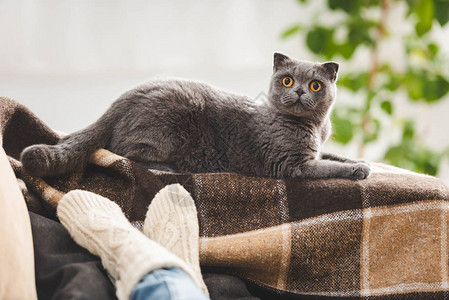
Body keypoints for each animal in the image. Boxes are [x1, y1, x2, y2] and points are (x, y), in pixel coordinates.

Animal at [21, 52, 370, 179]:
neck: (314, 127)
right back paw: (166, 168)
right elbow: (327, 168)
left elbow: (334, 157)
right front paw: (358, 171)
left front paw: (361, 162)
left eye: (315, 85)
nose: (298, 92)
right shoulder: (290, 164)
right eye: (287, 80)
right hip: (165, 129)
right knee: (121, 150)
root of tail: (124, 97)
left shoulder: (317, 150)